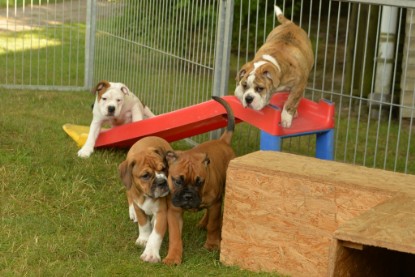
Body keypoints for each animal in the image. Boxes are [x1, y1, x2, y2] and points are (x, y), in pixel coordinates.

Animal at [162, 96, 236, 264]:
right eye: (177, 181)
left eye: (199, 182)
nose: (188, 196)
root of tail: (223, 141)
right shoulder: (174, 210)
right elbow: (175, 236)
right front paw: (173, 256)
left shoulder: (215, 203)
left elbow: (213, 226)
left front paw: (212, 244)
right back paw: (202, 223)